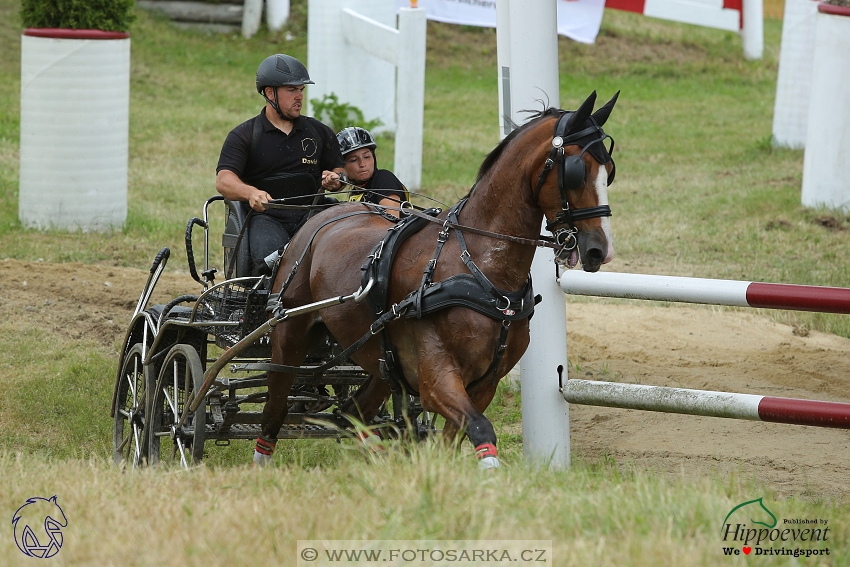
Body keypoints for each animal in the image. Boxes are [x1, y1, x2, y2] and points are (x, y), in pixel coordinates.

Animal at [252, 90, 616, 470]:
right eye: (576, 171)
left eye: (609, 171)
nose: (599, 249)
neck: (480, 273)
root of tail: (321, 216)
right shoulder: (436, 379)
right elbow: (482, 429)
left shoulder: (483, 385)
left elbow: (454, 440)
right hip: (289, 335)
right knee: (274, 408)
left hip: (381, 362)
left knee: (352, 412)